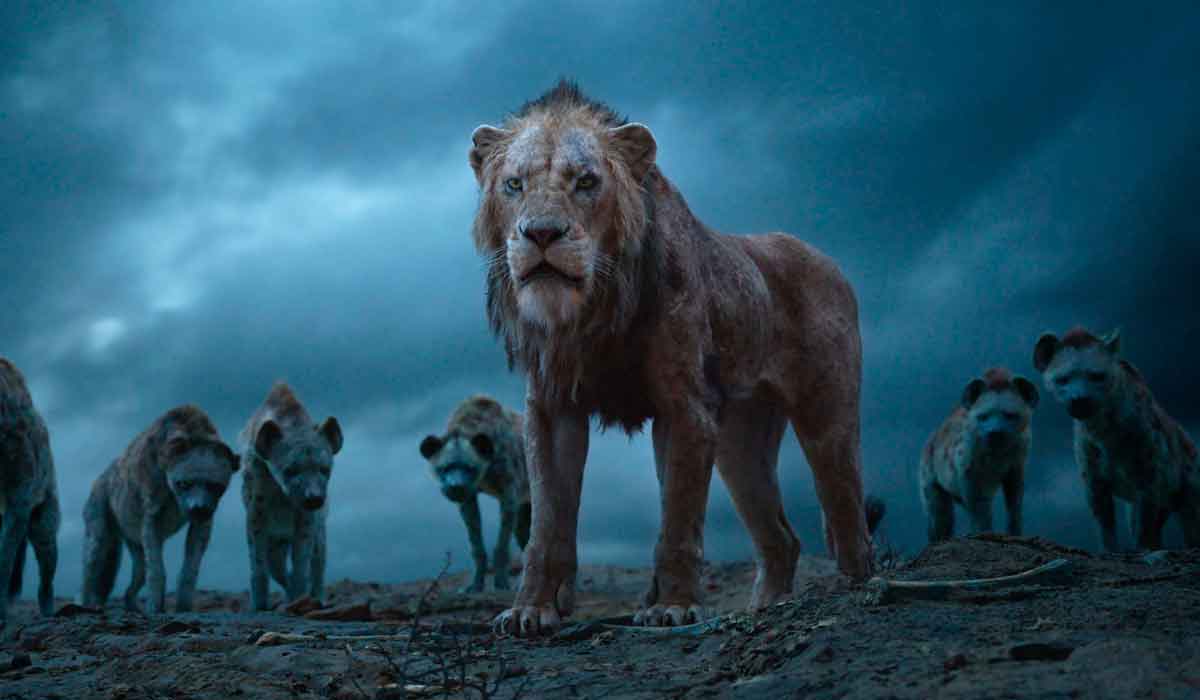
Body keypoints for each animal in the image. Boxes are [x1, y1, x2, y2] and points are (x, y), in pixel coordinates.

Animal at [469, 81, 873, 636]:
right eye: (514, 184)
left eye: (586, 181)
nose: (542, 234)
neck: (593, 308)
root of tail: (832, 264)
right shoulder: (551, 409)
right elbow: (547, 523)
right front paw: (532, 609)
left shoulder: (684, 406)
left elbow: (678, 516)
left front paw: (674, 607)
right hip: (739, 444)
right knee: (782, 537)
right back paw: (767, 607)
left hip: (825, 415)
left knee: (845, 505)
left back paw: (859, 588)